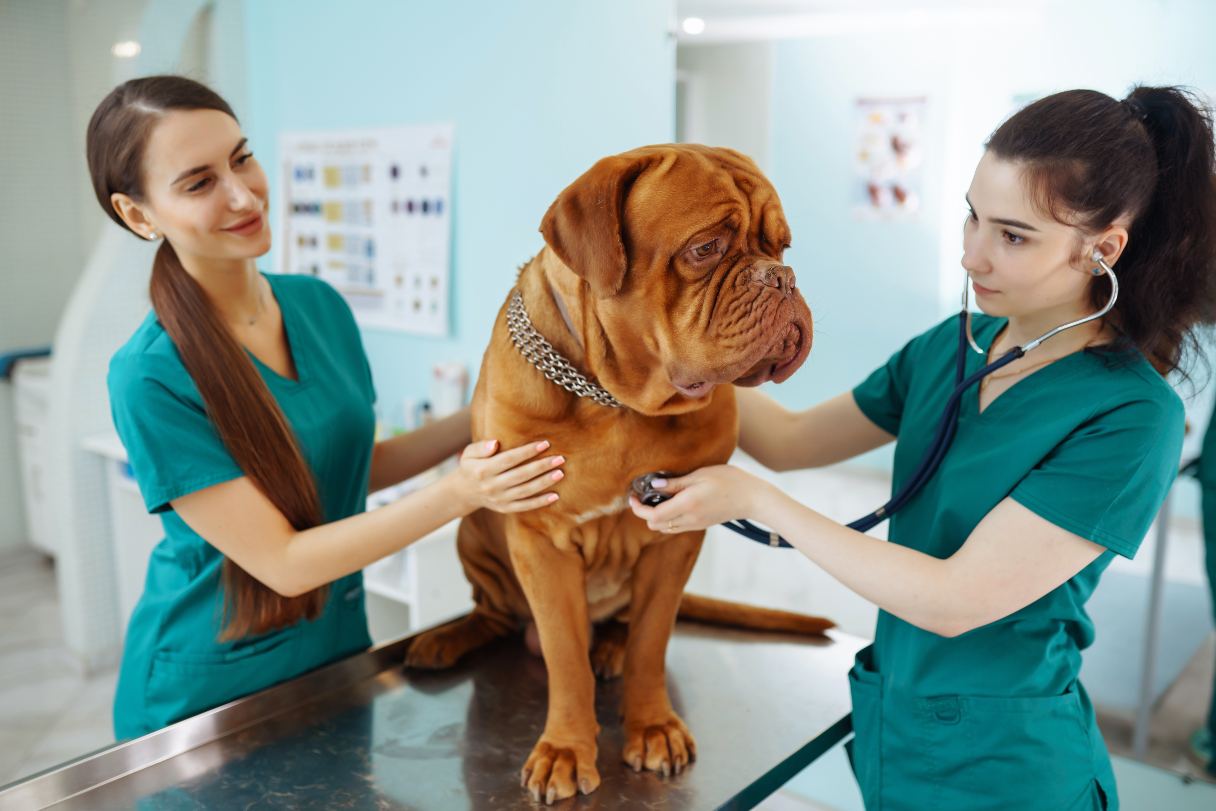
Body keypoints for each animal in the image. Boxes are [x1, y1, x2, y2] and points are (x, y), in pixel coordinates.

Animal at [403, 142, 831, 802]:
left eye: (781, 247)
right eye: (706, 247)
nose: (782, 279)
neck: (615, 399)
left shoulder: (674, 539)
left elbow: (652, 642)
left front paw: (651, 727)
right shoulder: (539, 539)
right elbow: (563, 655)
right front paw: (565, 747)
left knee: (622, 631)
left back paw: (609, 647)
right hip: (473, 534)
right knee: (495, 613)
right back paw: (447, 639)